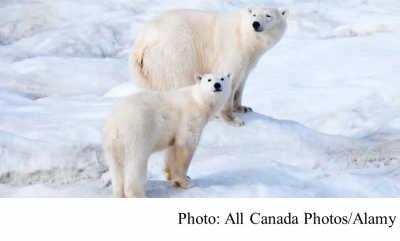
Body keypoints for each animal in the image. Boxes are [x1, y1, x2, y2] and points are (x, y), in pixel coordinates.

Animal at [130, 6, 290, 126]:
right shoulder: (232, 49)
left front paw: (243, 108)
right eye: (254, 14)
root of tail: (140, 45)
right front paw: (232, 120)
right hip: (174, 56)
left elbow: (241, 81)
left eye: (268, 15)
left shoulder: (249, 59)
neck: (247, 37)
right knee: (178, 82)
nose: (255, 24)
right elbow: (228, 77)